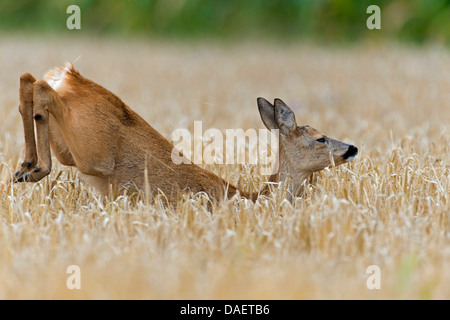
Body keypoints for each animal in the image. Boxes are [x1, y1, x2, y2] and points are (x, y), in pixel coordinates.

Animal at [14, 62, 358, 202]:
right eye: (320, 138)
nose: (352, 148)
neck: (252, 199)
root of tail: (70, 76)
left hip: (71, 149)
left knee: (29, 78)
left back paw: (25, 167)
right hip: (92, 152)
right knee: (40, 86)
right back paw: (33, 168)